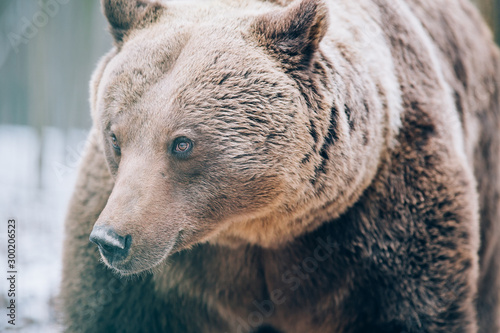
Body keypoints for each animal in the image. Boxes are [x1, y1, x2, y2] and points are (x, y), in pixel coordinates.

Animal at [60, 0, 500, 330]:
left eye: (182, 143)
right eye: (115, 137)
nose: (111, 239)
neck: (258, 227)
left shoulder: (384, 210)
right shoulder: (160, 278)